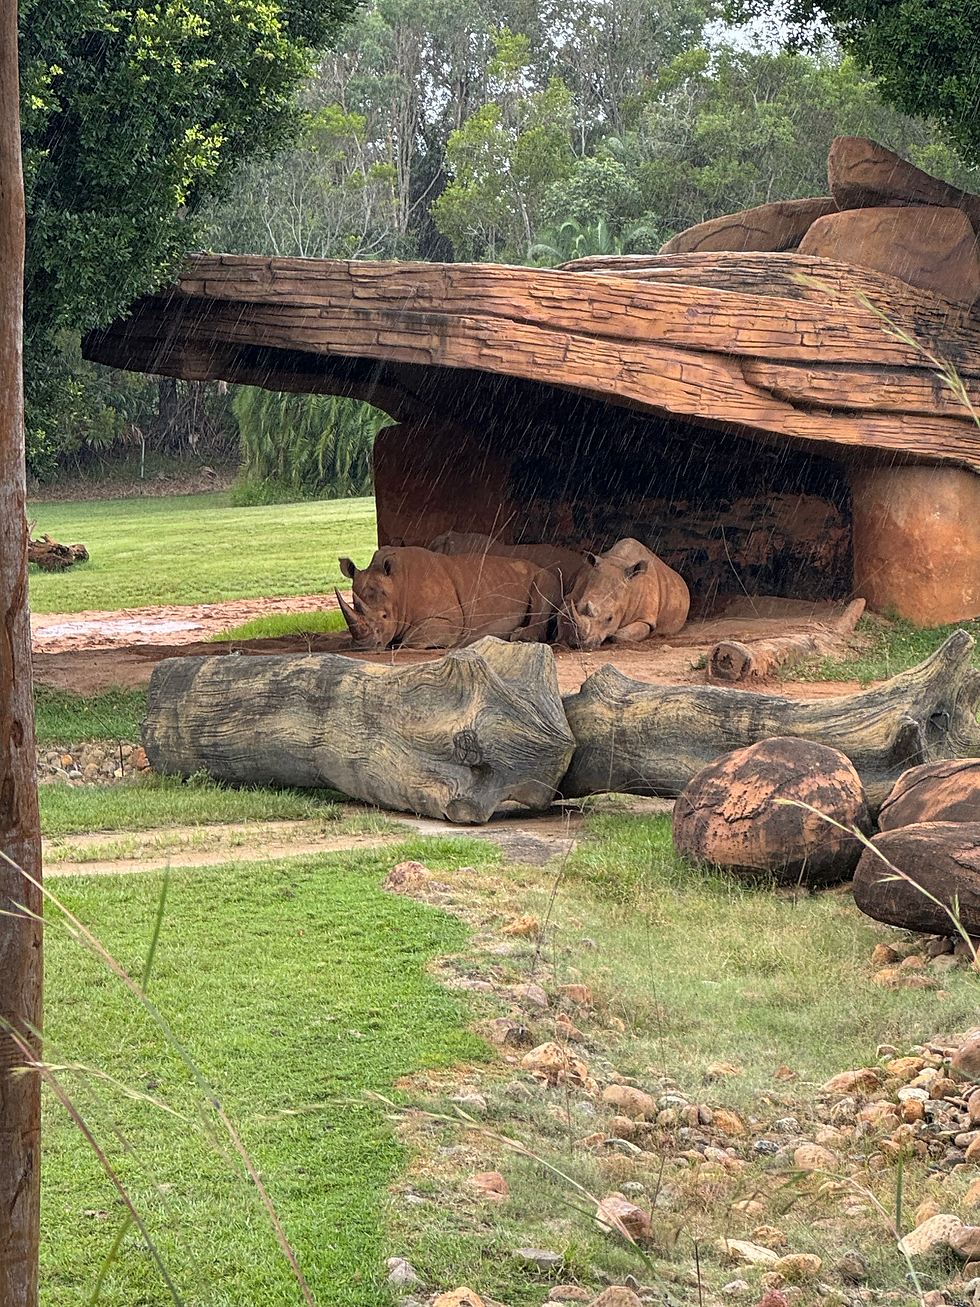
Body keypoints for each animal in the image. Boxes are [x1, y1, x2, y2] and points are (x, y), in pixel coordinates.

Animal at [337, 546, 561, 650]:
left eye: (384, 617)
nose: (362, 647)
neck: (398, 588)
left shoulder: (449, 621)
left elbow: (411, 639)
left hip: (545, 574)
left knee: (543, 588)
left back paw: (518, 637)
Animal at [559, 537, 689, 650]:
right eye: (578, 607)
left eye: (610, 618)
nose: (582, 644)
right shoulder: (574, 592)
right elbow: (564, 611)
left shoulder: (646, 618)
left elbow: (620, 635)